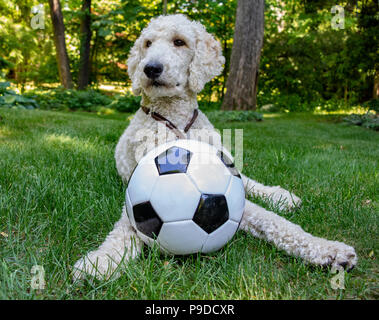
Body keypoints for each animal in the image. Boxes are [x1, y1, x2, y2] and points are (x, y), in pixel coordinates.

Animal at [72, 14, 360, 280]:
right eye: (147, 43)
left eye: (179, 42)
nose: (150, 68)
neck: (176, 122)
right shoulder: (138, 185)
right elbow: (126, 228)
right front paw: (102, 260)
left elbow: (269, 218)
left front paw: (326, 248)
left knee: (250, 182)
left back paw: (279, 196)